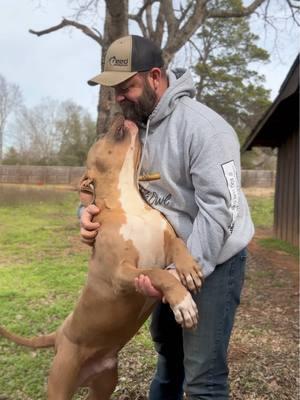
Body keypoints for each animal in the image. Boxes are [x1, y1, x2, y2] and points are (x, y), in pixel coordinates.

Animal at [0, 114, 204, 398]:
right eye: (101, 137)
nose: (122, 115)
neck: (129, 202)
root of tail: (59, 334)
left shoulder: (167, 241)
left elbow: (179, 247)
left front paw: (188, 269)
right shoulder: (121, 273)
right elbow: (157, 273)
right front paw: (182, 302)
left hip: (104, 383)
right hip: (61, 382)